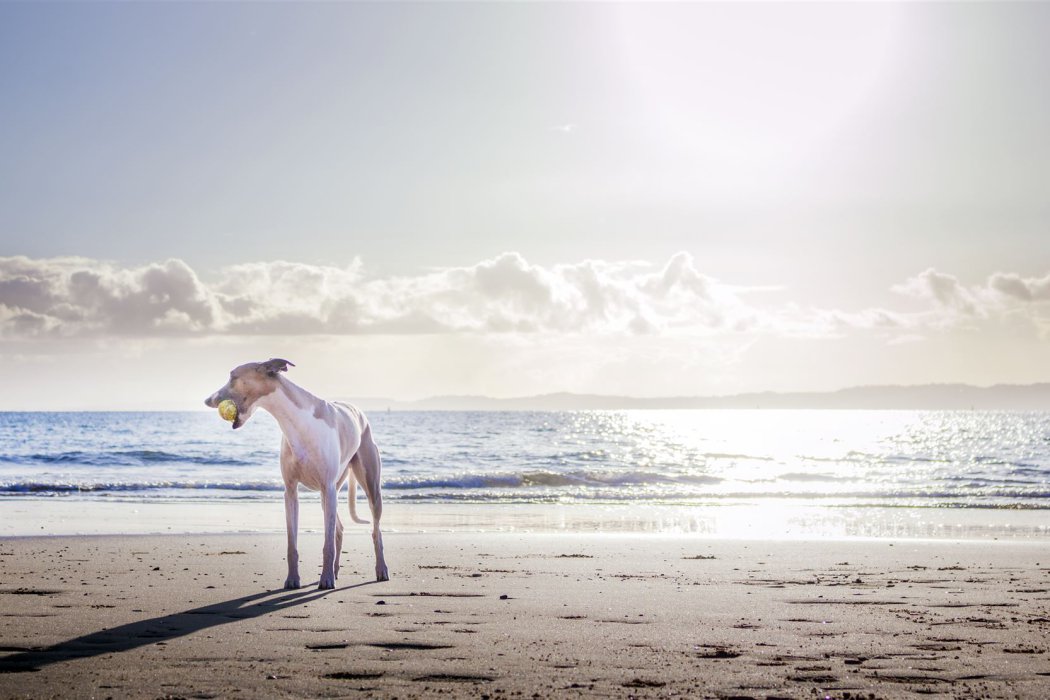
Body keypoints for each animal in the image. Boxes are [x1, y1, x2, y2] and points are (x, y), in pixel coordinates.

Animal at [202, 358, 388, 587]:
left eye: (233, 376)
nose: (207, 400)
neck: (297, 422)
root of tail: (357, 411)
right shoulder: (291, 491)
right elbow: (292, 544)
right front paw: (292, 579)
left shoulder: (327, 486)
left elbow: (327, 544)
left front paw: (325, 579)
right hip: (328, 495)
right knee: (339, 529)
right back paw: (335, 571)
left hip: (367, 487)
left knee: (376, 531)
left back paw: (380, 569)